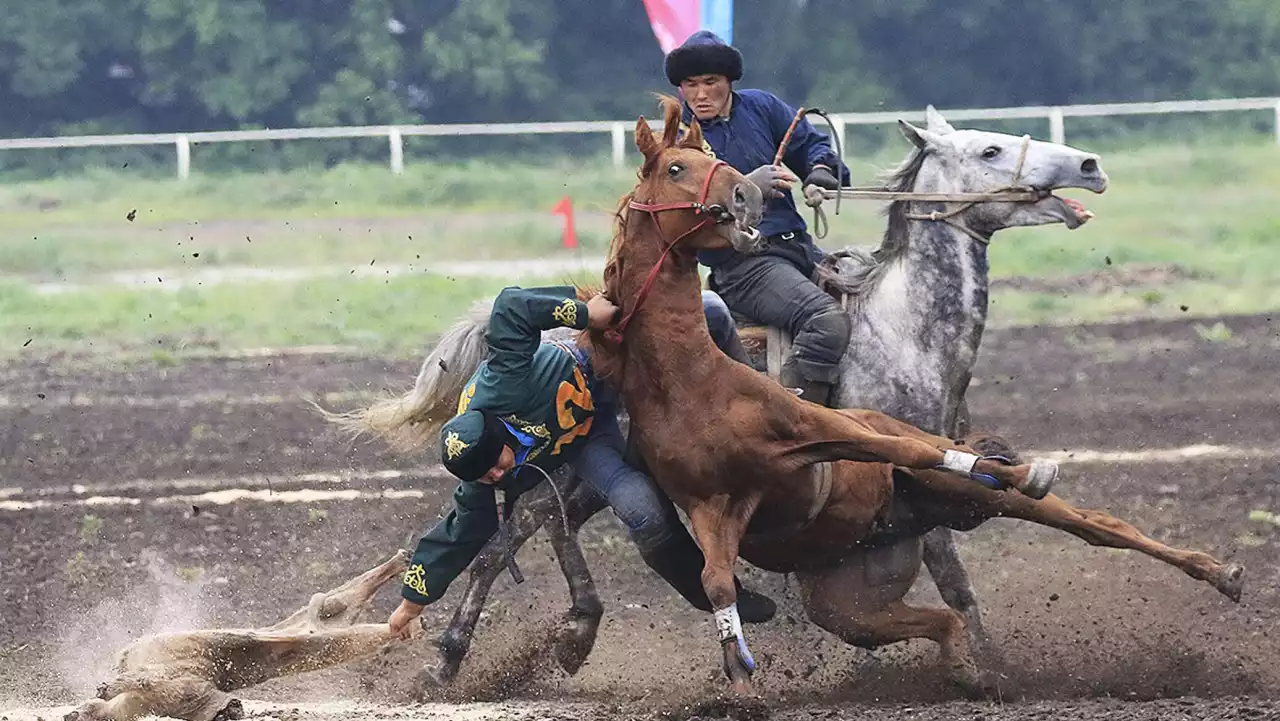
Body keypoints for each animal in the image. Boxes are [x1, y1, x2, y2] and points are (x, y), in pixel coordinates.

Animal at [327, 106, 1111, 691]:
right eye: (990, 148)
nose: (1089, 166)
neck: (899, 329)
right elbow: (955, 582)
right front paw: (987, 663)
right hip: (576, 470)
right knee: (505, 541)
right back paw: (456, 655)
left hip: (587, 476)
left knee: (537, 529)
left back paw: (562, 631)